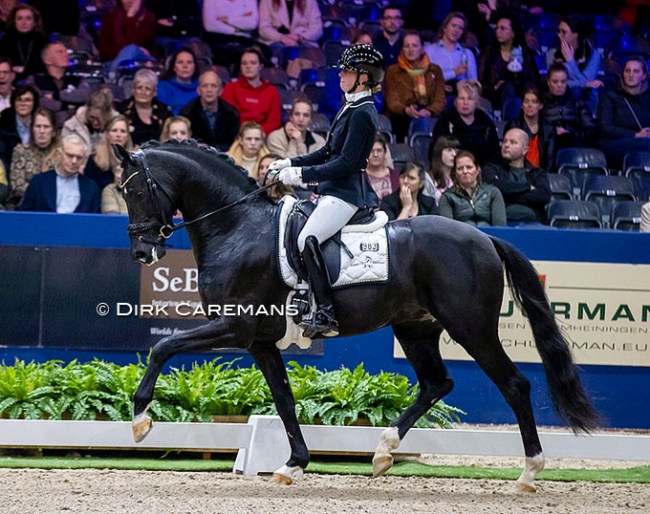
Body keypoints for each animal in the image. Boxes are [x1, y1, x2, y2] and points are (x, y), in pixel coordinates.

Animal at [114, 139, 596, 488]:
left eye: (136, 190)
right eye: (122, 192)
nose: (141, 252)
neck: (237, 228)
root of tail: (484, 238)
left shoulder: (235, 326)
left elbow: (163, 347)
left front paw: (140, 422)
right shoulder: (260, 341)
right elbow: (284, 399)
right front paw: (293, 465)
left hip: (471, 328)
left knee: (513, 385)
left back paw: (529, 473)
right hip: (414, 328)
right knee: (437, 382)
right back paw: (383, 452)